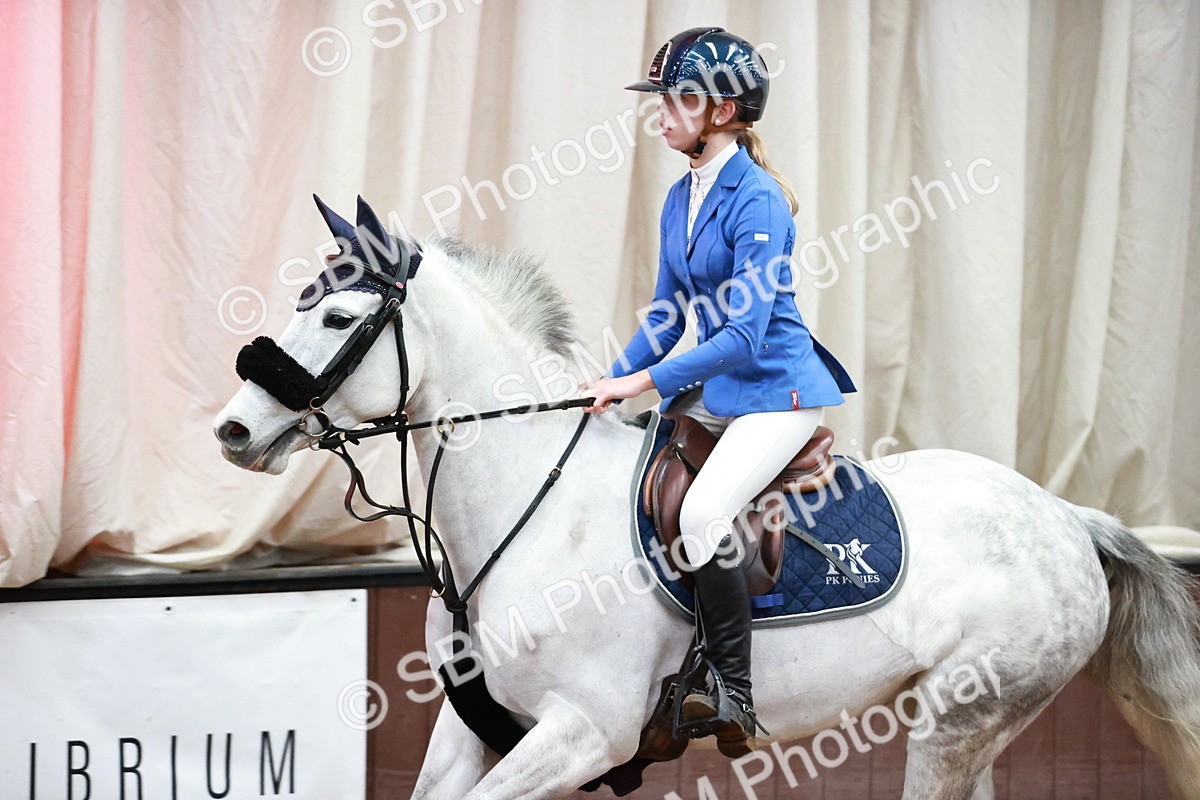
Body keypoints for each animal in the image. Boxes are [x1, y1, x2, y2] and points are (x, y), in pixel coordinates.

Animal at [214, 198, 1200, 800]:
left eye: (338, 317)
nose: (233, 431)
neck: (523, 514)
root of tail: (1066, 516)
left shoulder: (585, 732)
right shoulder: (475, 730)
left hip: (964, 716)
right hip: (967, 718)